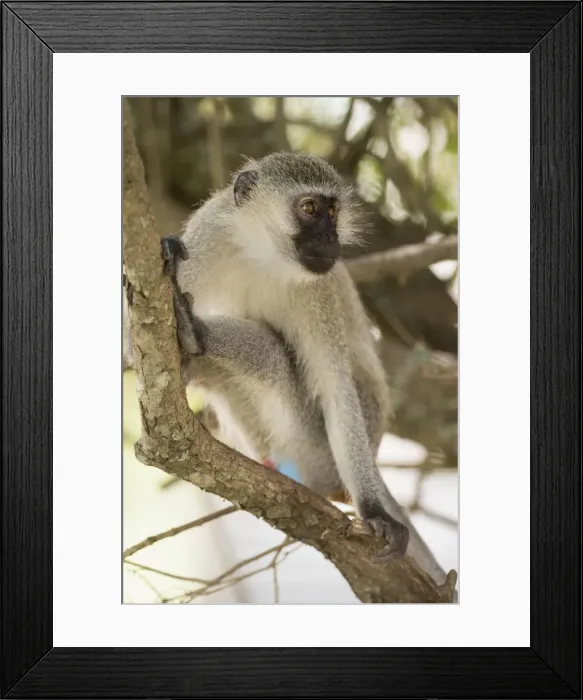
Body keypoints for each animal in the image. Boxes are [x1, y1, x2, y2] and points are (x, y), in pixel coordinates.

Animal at [160, 152, 447, 583]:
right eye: (309, 209)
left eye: (332, 211)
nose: (330, 238)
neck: (261, 254)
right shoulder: (206, 236)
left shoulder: (319, 292)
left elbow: (335, 389)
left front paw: (374, 511)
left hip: (313, 449)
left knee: (272, 353)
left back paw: (195, 335)